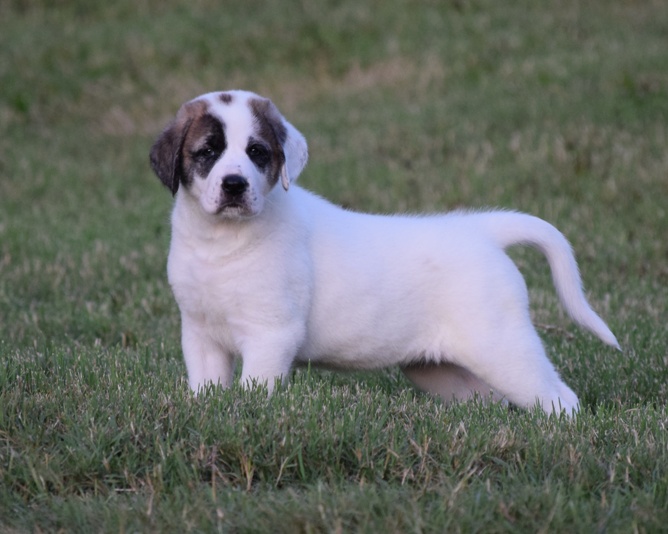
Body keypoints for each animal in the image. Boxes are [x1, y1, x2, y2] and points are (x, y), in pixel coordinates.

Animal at [150, 90, 619, 415]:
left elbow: (254, 391)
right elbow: (206, 387)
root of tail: (479, 229)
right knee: (490, 401)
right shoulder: (200, 336)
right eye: (208, 152)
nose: (234, 185)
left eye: (257, 152)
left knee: (559, 397)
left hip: (503, 347)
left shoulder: (270, 336)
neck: (221, 241)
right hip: (442, 370)